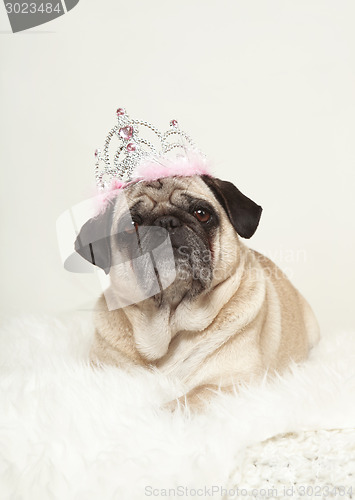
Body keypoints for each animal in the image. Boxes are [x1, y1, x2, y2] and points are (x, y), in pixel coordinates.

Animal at [75, 176, 320, 410]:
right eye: (132, 225)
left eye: (202, 214)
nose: (166, 222)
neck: (171, 322)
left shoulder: (232, 383)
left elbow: (189, 398)